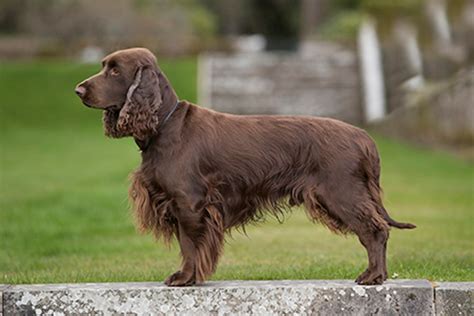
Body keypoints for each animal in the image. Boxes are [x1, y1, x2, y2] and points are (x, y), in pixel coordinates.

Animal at [75, 47, 414, 286]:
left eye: (115, 70)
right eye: (104, 66)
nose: (78, 90)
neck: (165, 126)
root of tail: (364, 137)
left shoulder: (189, 202)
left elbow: (189, 244)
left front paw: (185, 278)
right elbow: (188, 245)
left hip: (341, 192)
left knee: (375, 229)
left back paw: (373, 276)